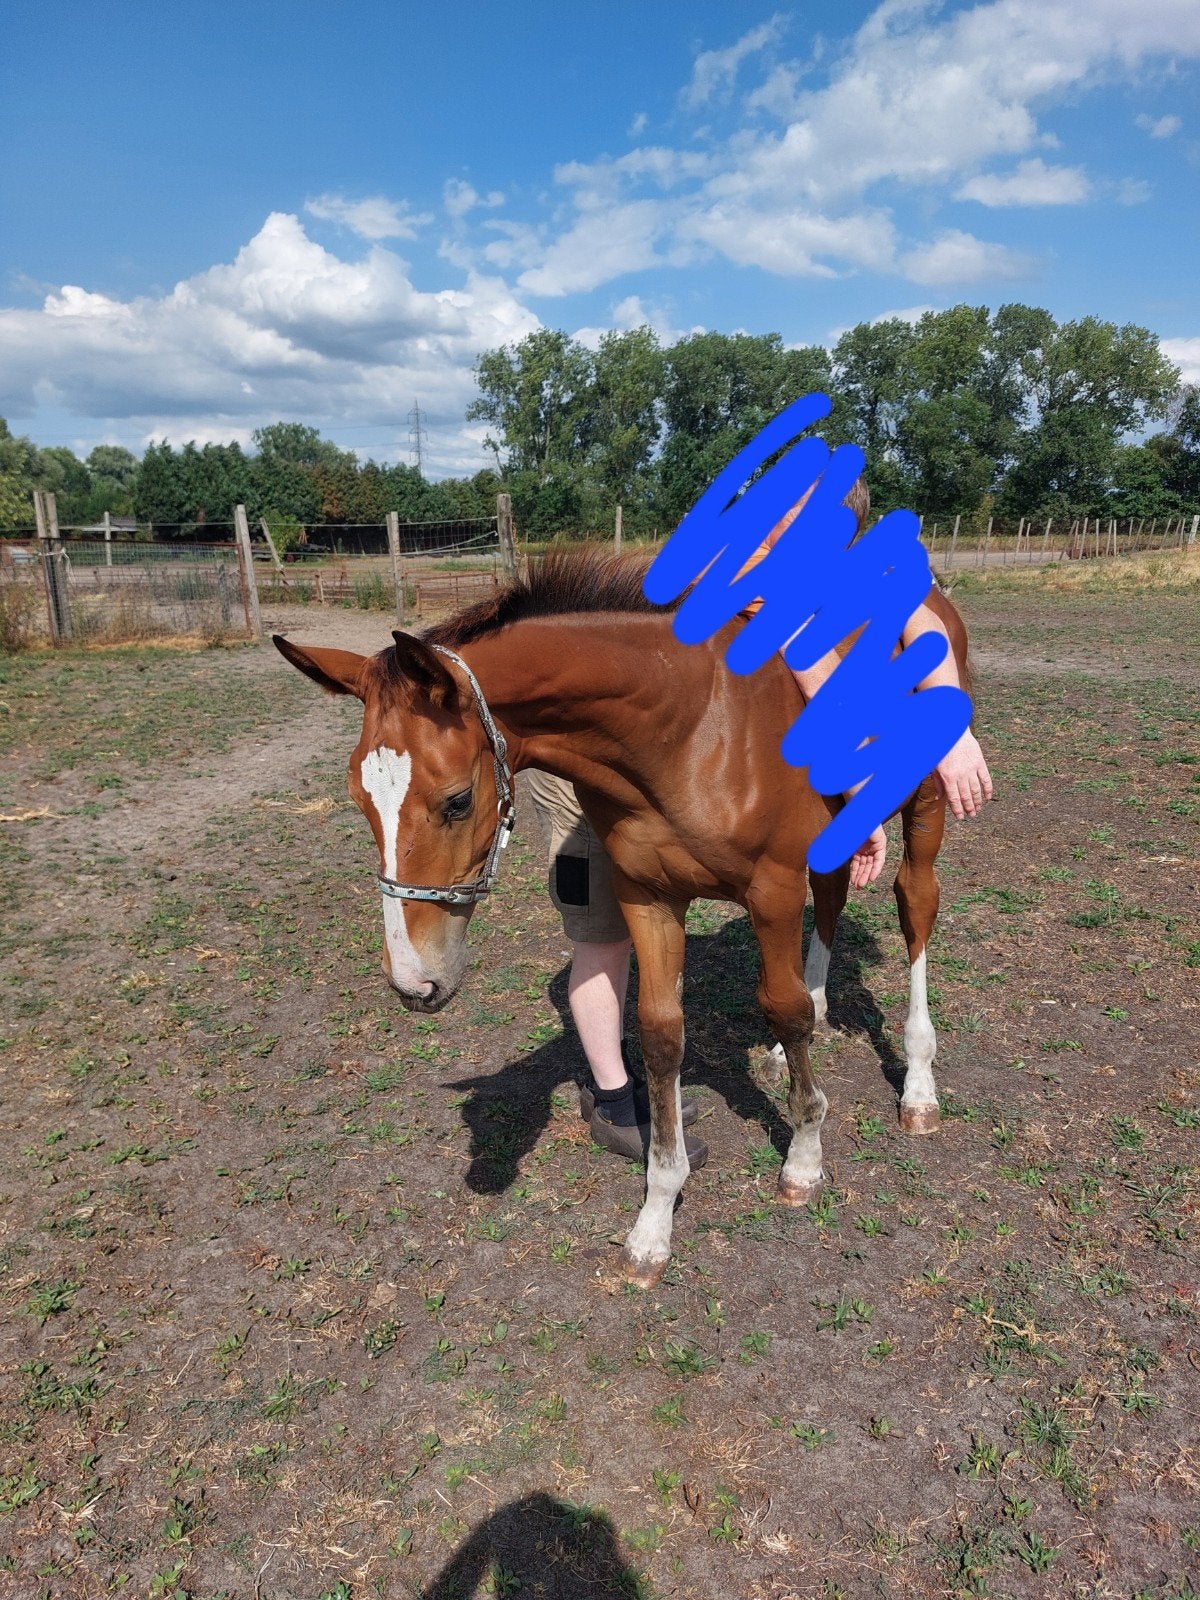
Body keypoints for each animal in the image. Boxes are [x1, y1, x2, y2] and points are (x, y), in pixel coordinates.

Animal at [274, 549, 970, 1288]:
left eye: (457, 800)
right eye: (358, 798)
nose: (415, 982)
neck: (691, 728)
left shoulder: (773, 889)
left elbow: (779, 1006)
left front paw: (805, 1157)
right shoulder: (648, 895)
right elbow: (661, 1034)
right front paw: (654, 1223)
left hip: (926, 804)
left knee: (915, 904)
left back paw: (919, 1087)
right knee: (834, 898)